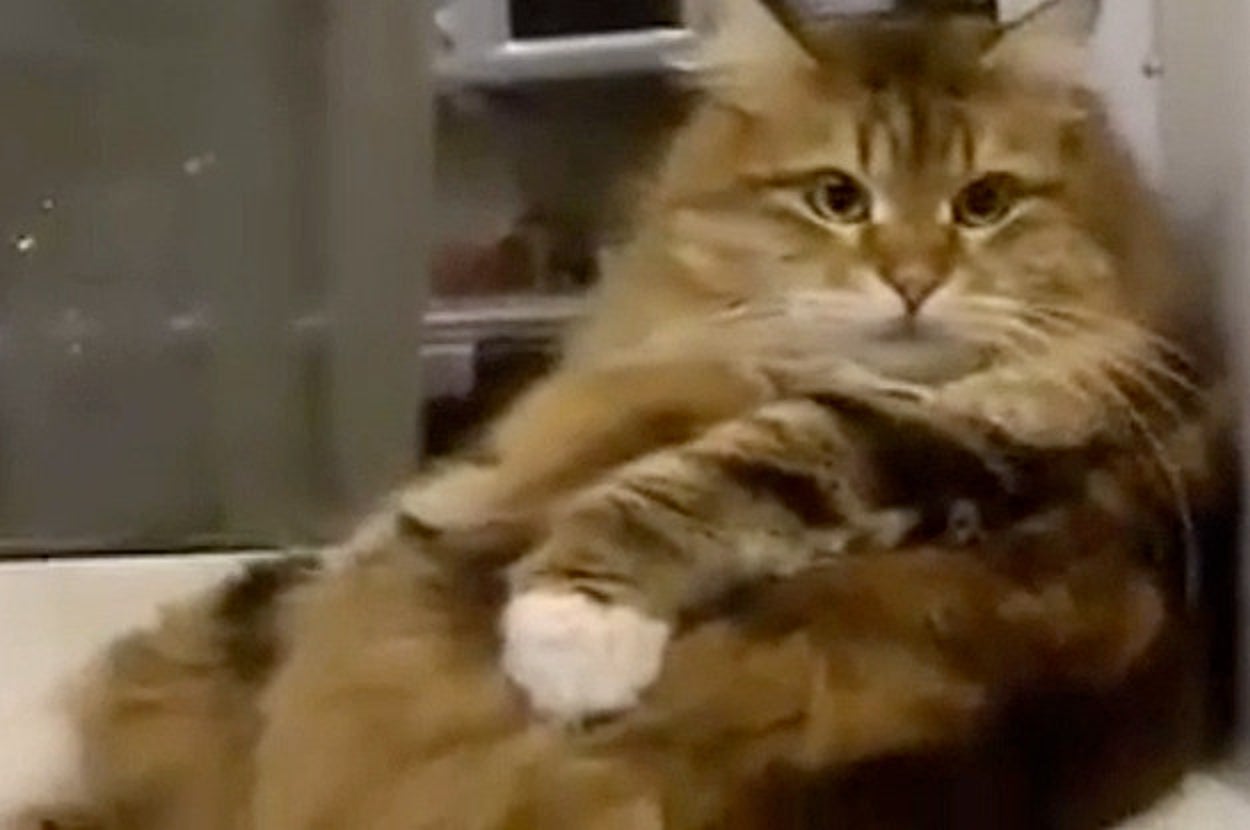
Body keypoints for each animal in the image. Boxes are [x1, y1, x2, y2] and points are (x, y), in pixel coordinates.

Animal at [15, 1, 1232, 828]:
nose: (914, 281)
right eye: (836, 197)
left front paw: (572, 631)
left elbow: (716, 473)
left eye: (983, 204)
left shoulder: (979, 432)